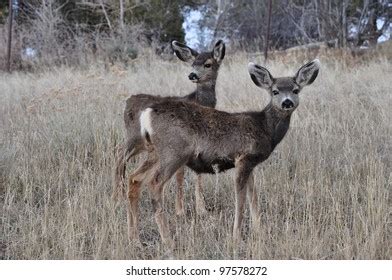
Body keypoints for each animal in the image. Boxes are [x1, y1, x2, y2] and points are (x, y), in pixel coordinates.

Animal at [112, 40, 225, 219]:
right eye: (193, 63)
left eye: (207, 64)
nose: (192, 75)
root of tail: (128, 102)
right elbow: (181, 174)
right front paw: (180, 210)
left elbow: (198, 174)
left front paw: (201, 209)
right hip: (134, 136)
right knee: (119, 155)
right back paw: (117, 198)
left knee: (119, 153)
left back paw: (119, 196)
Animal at [127, 58, 320, 253]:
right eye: (275, 91)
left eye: (295, 90)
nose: (287, 102)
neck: (265, 128)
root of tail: (147, 114)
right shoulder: (243, 158)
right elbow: (240, 201)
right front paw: (236, 238)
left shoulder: (251, 164)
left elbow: (253, 197)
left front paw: (259, 230)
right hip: (173, 151)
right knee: (154, 183)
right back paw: (168, 241)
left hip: (155, 152)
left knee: (135, 178)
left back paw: (135, 239)